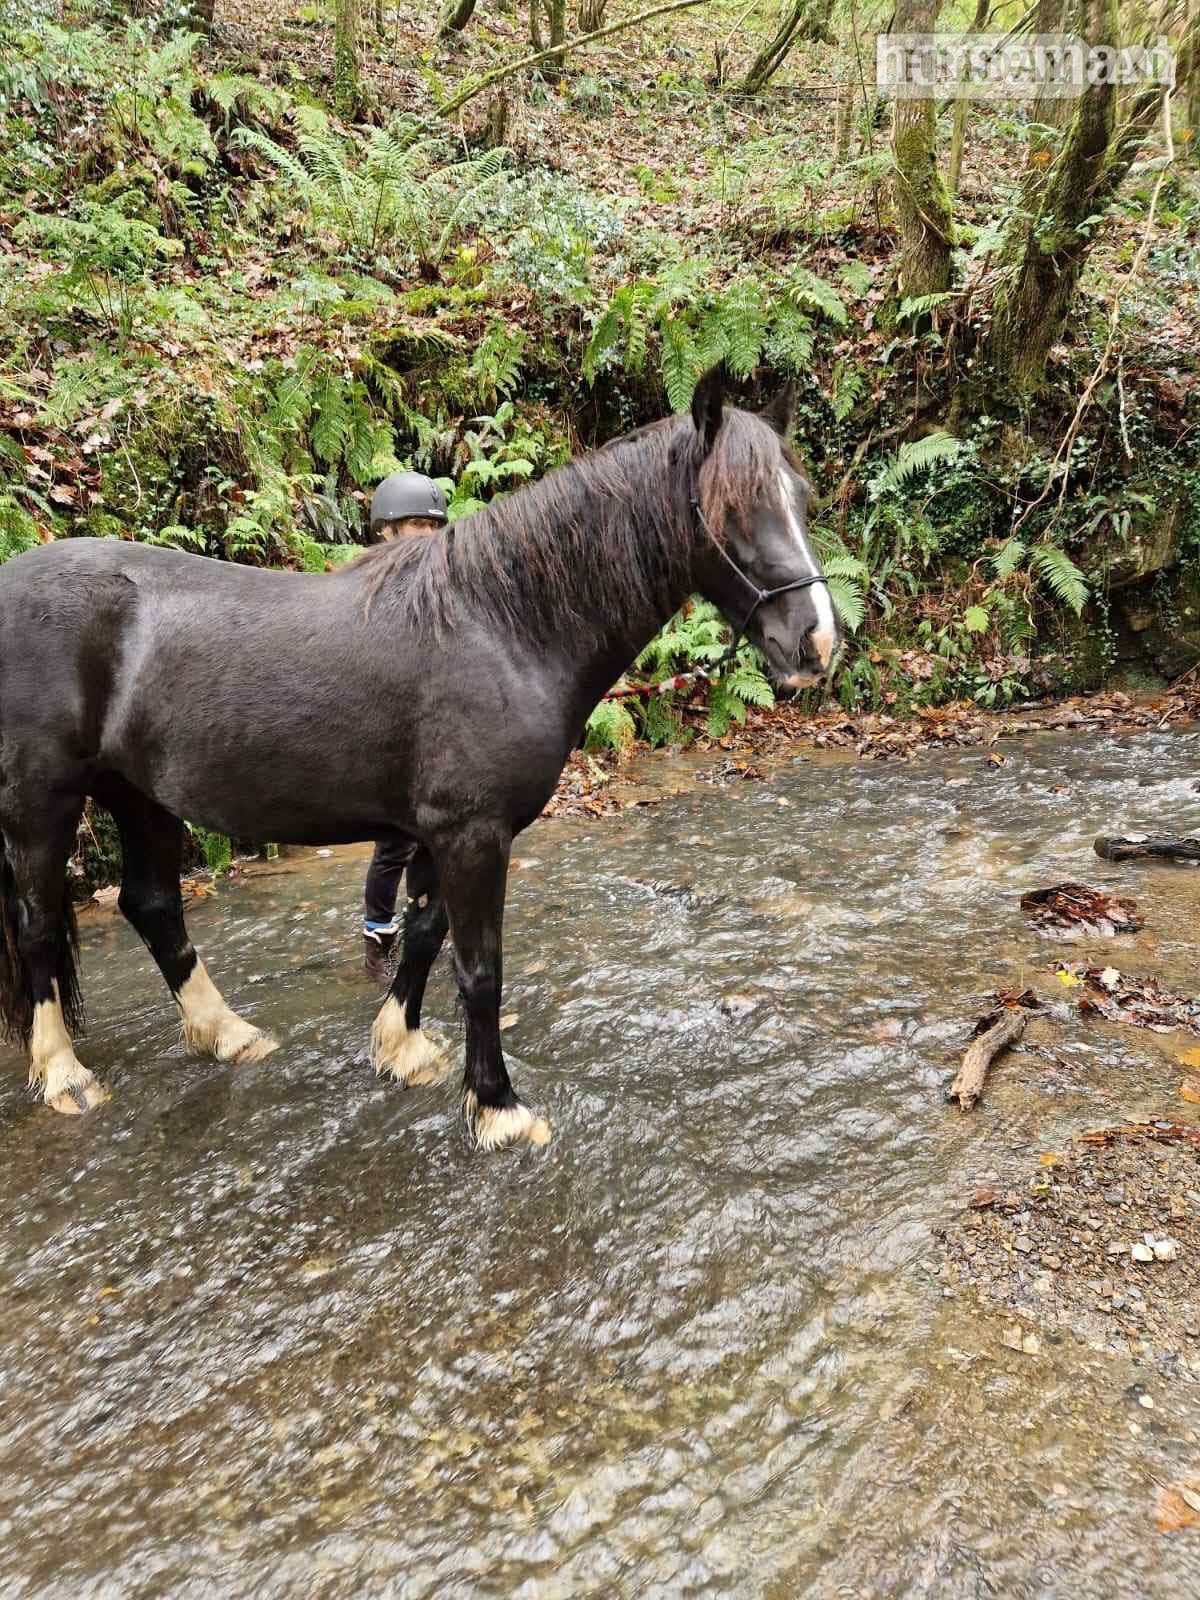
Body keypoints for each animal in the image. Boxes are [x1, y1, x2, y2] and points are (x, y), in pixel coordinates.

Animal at [0, 368, 839, 1149]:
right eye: (734, 507)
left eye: (799, 498)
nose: (818, 642)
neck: (500, 625)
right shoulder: (473, 834)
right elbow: (480, 969)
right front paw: (497, 1106)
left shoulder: (440, 832)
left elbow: (427, 936)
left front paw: (401, 1048)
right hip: (44, 802)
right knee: (38, 924)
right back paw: (66, 1075)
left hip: (139, 794)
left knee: (152, 906)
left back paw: (230, 1034)